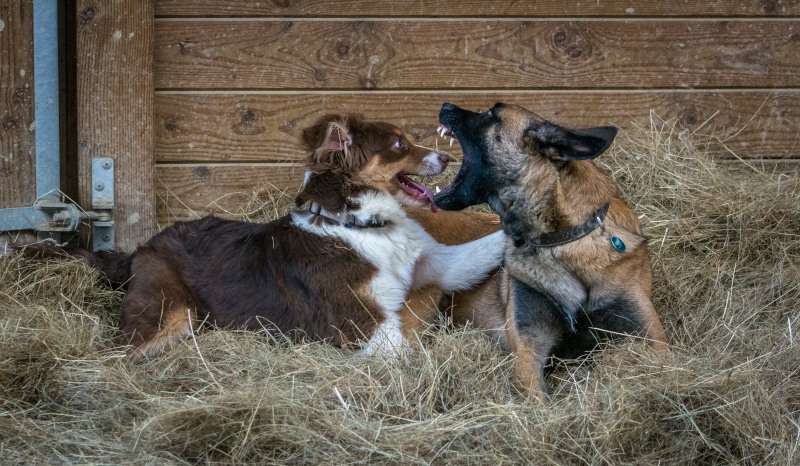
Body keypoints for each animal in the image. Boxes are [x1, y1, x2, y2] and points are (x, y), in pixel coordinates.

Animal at [26, 113, 506, 360]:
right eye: (400, 145)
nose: (446, 158)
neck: (355, 224)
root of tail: (140, 249)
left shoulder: (434, 264)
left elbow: (475, 251)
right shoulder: (362, 326)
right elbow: (410, 346)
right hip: (166, 312)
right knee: (122, 353)